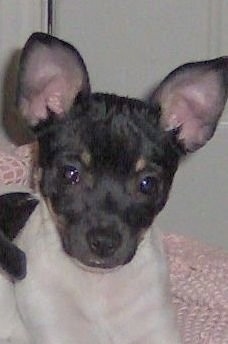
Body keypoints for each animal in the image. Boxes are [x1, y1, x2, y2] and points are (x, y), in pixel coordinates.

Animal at [0, 32, 228, 344]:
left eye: (147, 184)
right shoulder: (57, 329)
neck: (99, 286)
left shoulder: (157, 330)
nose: (104, 242)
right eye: (70, 174)